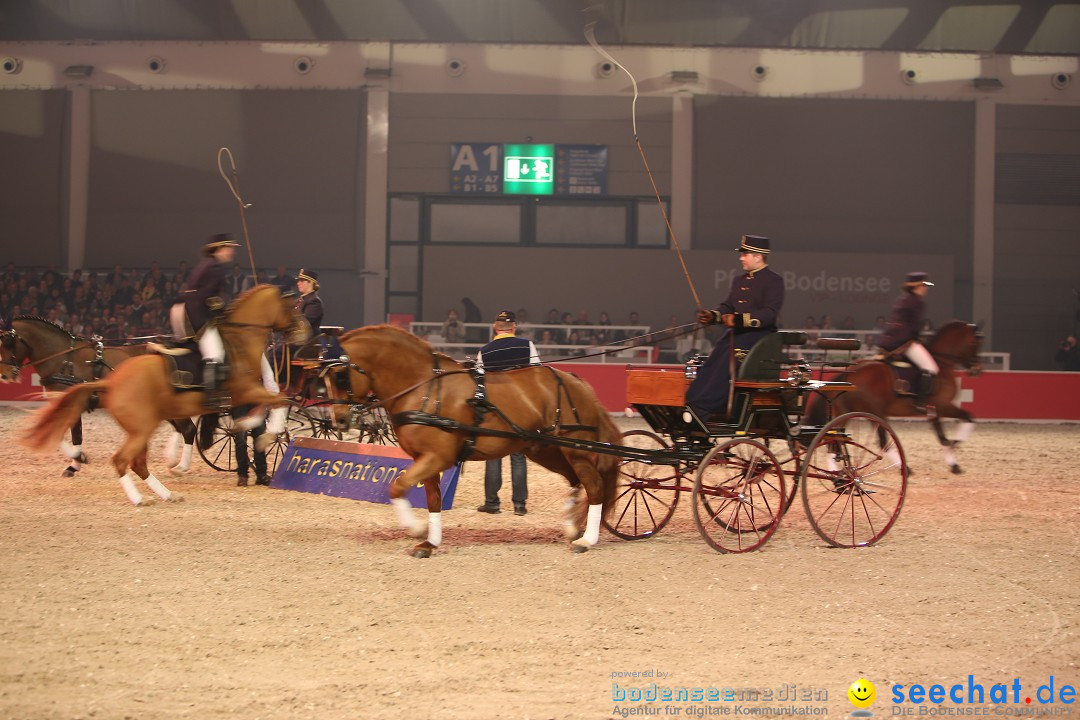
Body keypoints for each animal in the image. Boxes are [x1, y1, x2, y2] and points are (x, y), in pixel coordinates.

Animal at [0, 317, 200, 474]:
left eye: (8, 343)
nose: (5, 374)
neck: (64, 359)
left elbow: (71, 435)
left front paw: (77, 460)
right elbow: (71, 434)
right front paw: (76, 462)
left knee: (188, 429)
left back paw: (182, 466)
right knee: (180, 428)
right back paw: (172, 459)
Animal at [22, 284, 308, 505]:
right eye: (291, 306)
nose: (302, 330)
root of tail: (112, 381)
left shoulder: (245, 394)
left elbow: (270, 405)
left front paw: (256, 429)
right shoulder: (246, 391)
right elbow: (279, 402)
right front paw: (268, 434)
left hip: (145, 427)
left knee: (141, 460)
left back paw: (167, 492)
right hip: (142, 428)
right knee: (124, 459)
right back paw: (142, 497)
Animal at [332, 325, 622, 557]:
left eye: (340, 376)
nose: (340, 420)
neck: (424, 389)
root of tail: (577, 382)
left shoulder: (437, 457)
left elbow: (397, 487)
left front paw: (417, 529)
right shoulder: (425, 459)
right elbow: (432, 499)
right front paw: (429, 542)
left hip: (575, 450)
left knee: (594, 486)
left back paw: (586, 540)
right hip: (546, 450)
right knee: (575, 481)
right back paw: (572, 526)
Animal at [833, 319, 980, 472]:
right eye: (974, 343)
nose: (977, 369)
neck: (942, 364)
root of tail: (850, 372)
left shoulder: (934, 411)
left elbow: (943, 438)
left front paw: (954, 464)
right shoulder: (943, 405)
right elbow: (968, 418)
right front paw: (955, 443)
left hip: (847, 412)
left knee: (835, 439)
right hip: (877, 413)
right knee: (882, 442)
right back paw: (905, 469)